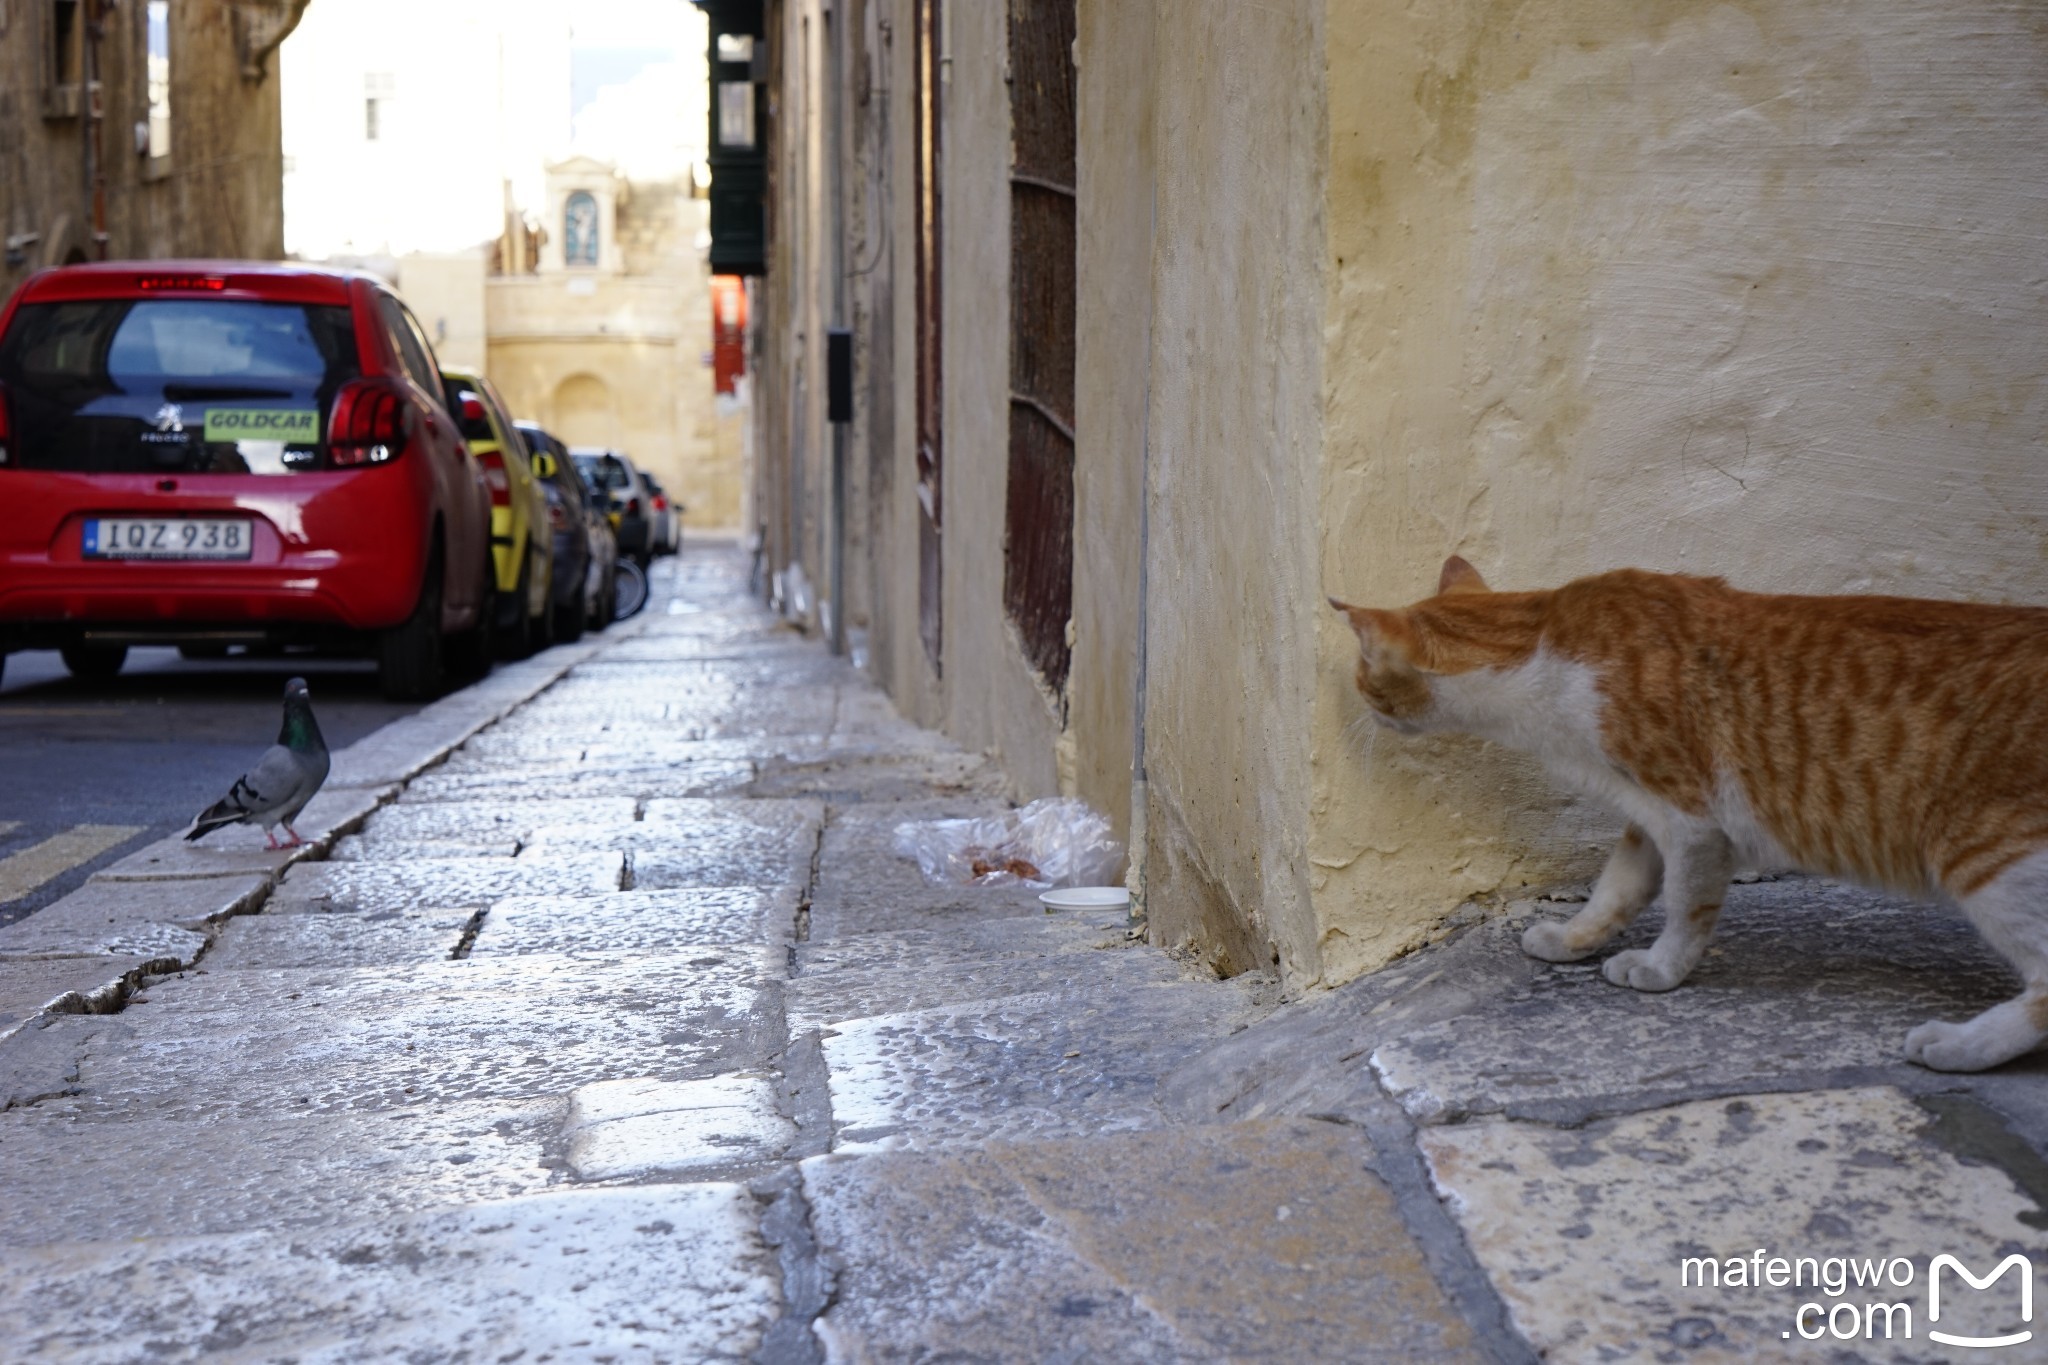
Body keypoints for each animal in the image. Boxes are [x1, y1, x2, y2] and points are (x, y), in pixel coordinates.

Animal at [1327, 560, 2048, 1072]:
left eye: (1365, 676)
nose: (1360, 704)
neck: (1541, 652)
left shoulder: (1692, 820)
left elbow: (1684, 909)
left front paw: (1660, 969)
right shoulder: (1648, 818)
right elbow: (1614, 890)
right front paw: (1573, 940)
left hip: (1988, 856)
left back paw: (1959, 1045)